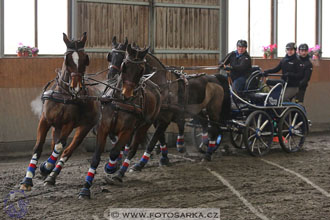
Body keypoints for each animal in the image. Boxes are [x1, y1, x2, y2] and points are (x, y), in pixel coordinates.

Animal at [20, 32, 100, 191]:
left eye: (85, 59)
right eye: (67, 59)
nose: (76, 88)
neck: (63, 96)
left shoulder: (69, 124)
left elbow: (59, 146)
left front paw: (46, 167)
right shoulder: (45, 120)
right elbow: (38, 147)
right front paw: (27, 180)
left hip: (84, 127)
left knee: (67, 150)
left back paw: (51, 175)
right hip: (56, 127)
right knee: (55, 146)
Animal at [79, 43, 162, 199]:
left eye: (141, 69)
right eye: (125, 65)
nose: (127, 93)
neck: (119, 102)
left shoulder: (127, 131)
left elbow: (114, 152)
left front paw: (110, 168)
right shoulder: (103, 128)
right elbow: (96, 157)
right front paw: (85, 188)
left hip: (144, 125)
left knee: (132, 150)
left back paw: (120, 173)